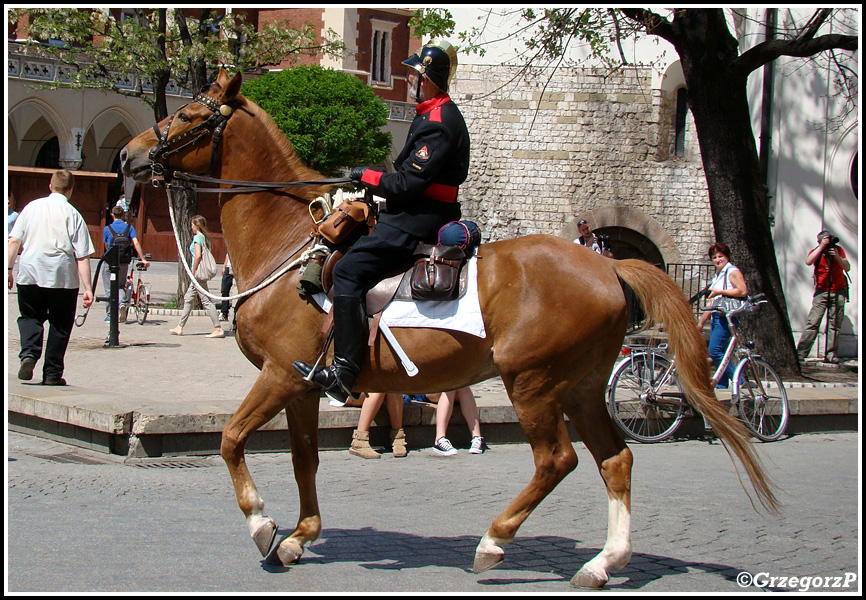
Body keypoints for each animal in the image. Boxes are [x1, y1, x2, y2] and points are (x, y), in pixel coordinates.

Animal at [121, 69, 776, 584]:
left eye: (187, 114)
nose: (128, 155)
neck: (290, 243)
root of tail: (605, 264)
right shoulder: (301, 386)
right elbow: (305, 459)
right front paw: (299, 536)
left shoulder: (281, 376)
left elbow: (231, 439)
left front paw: (262, 524)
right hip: (583, 385)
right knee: (614, 460)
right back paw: (603, 563)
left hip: (533, 382)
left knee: (556, 460)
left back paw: (494, 542)